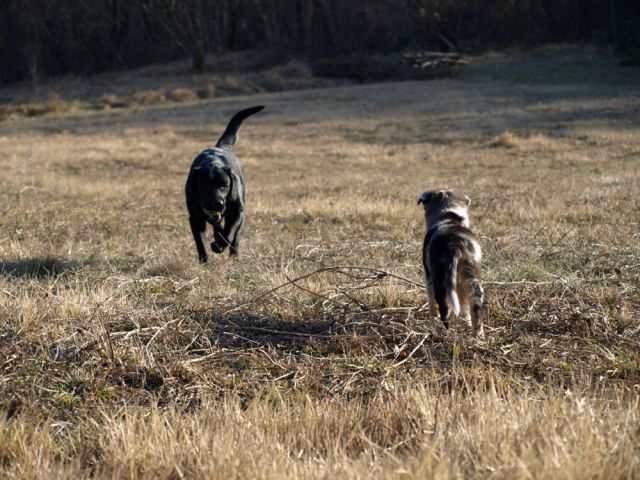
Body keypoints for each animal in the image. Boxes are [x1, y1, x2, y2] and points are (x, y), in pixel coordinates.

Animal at [185, 106, 264, 262]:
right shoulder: (195, 218)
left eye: (224, 186)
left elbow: (229, 235)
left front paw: (218, 246)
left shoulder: (237, 212)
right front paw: (204, 261)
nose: (217, 203)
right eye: (205, 186)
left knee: (235, 238)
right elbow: (200, 241)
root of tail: (220, 147)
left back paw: (234, 256)